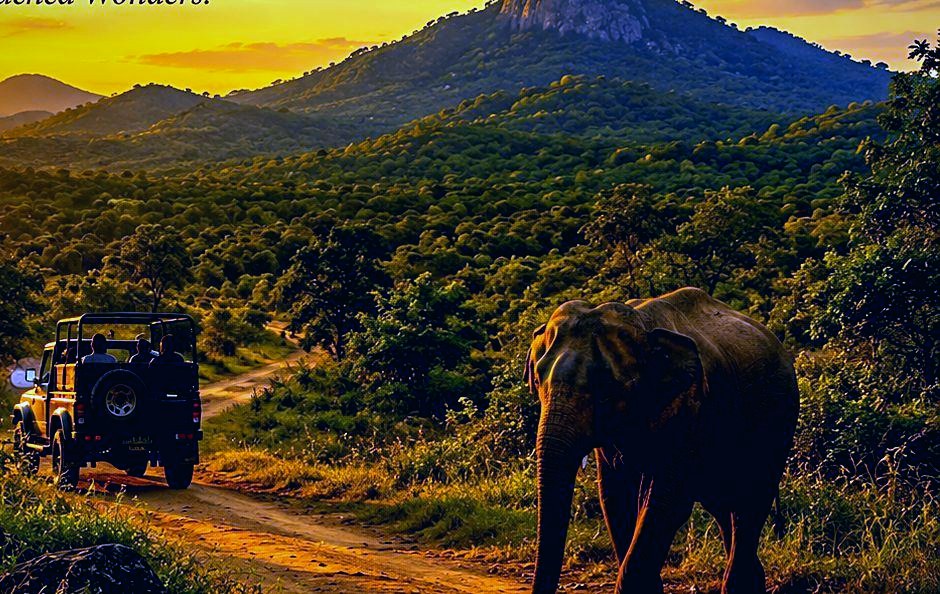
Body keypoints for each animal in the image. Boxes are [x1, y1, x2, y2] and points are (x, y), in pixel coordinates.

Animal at [524, 288, 799, 594]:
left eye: (605, 390)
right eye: (537, 379)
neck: (643, 326)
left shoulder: (691, 408)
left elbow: (667, 501)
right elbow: (615, 497)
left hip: (777, 422)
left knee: (750, 500)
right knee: (724, 505)